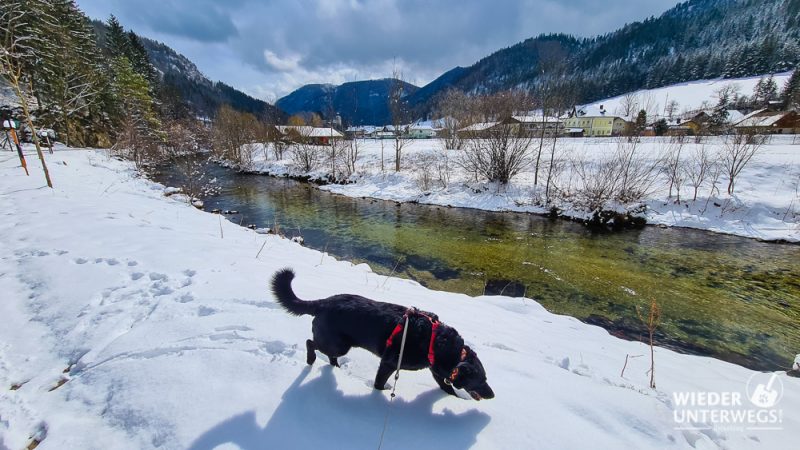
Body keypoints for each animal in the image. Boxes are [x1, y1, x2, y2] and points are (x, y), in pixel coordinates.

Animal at [270, 268, 494, 400]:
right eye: (481, 380)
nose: (492, 395)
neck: (437, 343)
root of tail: (323, 302)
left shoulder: (437, 371)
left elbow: (447, 388)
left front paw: (456, 400)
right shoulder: (389, 362)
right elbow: (379, 382)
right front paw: (380, 395)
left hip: (339, 345)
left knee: (328, 354)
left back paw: (336, 368)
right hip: (337, 344)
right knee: (310, 342)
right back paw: (311, 360)